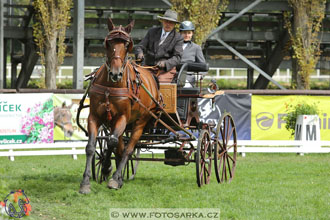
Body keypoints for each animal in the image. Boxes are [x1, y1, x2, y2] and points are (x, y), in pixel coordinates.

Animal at [78, 19, 159, 194]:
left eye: (127, 44)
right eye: (108, 42)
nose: (116, 74)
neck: (110, 86)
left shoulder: (122, 117)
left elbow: (112, 142)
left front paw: (108, 169)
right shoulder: (95, 116)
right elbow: (91, 146)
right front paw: (86, 182)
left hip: (139, 122)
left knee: (128, 149)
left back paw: (116, 178)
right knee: (120, 147)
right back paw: (118, 175)